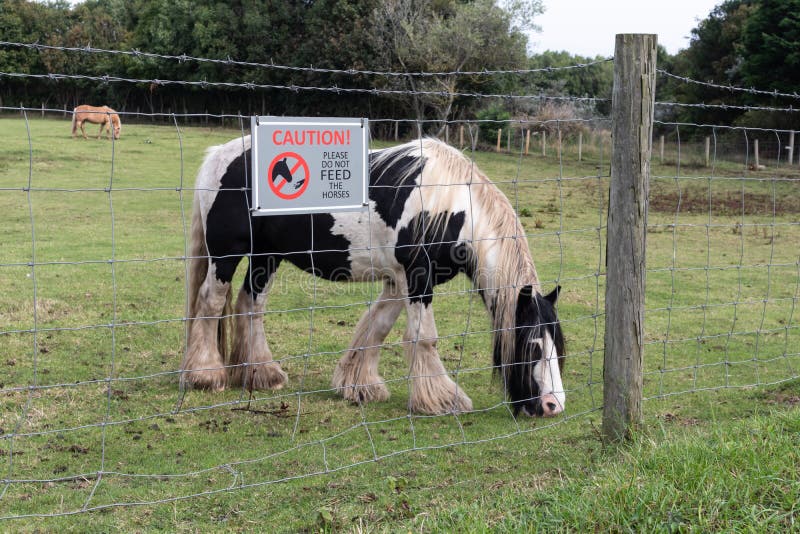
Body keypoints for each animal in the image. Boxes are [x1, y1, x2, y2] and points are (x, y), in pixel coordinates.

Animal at [182, 137, 566, 417]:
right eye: (532, 345)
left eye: (558, 346)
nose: (553, 405)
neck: (449, 205)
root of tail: (218, 156)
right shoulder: (417, 278)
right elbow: (424, 338)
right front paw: (442, 399)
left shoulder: (399, 281)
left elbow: (376, 328)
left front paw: (359, 385)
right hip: (227, 256)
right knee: (211, 302)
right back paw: (206, 375)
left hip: (267, 256)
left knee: (251, 304)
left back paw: (262, 374)